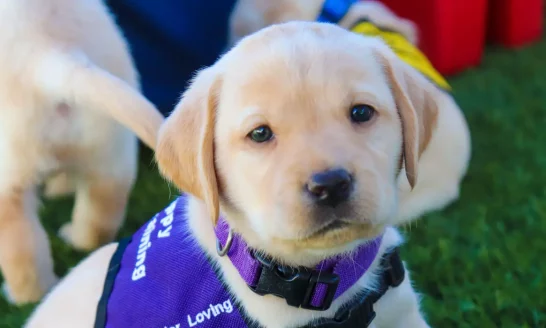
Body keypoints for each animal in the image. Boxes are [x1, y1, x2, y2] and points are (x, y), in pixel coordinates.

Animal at [0, 0, 163, 304]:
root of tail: (50, 54)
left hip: (9, 183)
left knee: (23, 254)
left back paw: (21, 296)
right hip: (110, 150)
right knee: (101, 211)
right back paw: (78, 237)